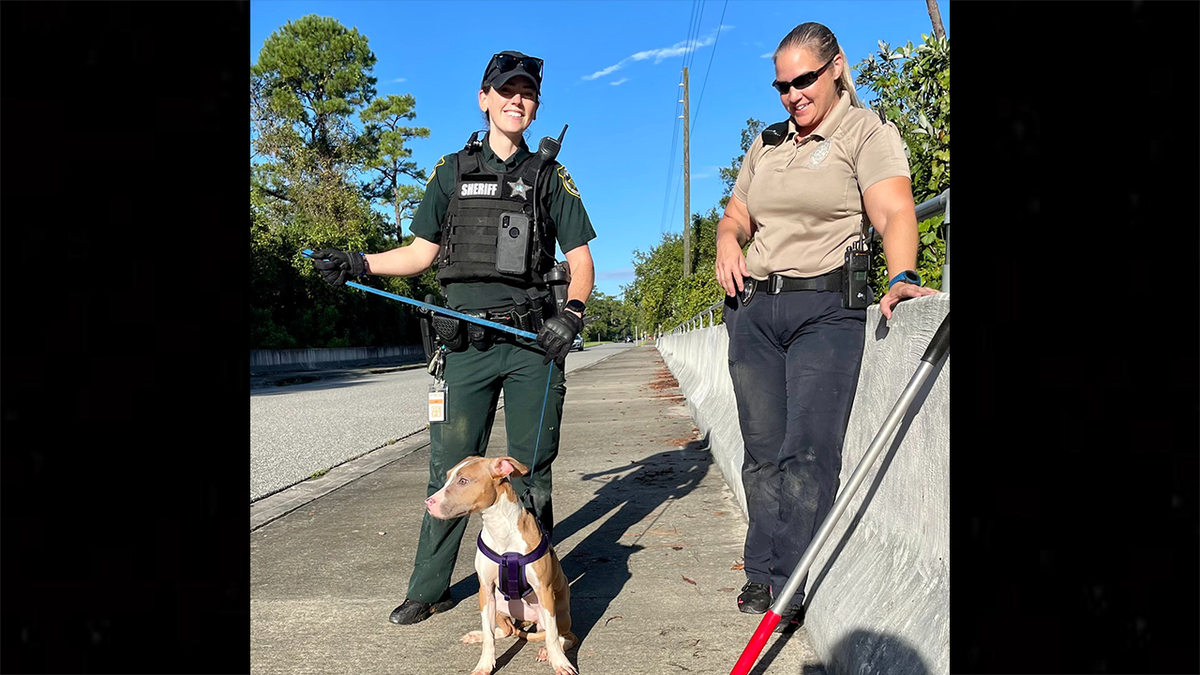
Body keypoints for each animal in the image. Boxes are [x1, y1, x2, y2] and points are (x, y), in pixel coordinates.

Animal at [424, 451, 578, 672]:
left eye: (463, 481)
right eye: (447, 478)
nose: (428, 502)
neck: (499, 528)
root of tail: (528, 619)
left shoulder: (544, 589)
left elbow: (552, 636)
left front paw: (560, 663)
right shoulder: (485, 589)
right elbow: (489, 636)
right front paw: (484, 665)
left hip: (559, 610)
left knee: (562, 635)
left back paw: (548, 652)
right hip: (495, 603)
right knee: (507, 629)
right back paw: (477, 634)